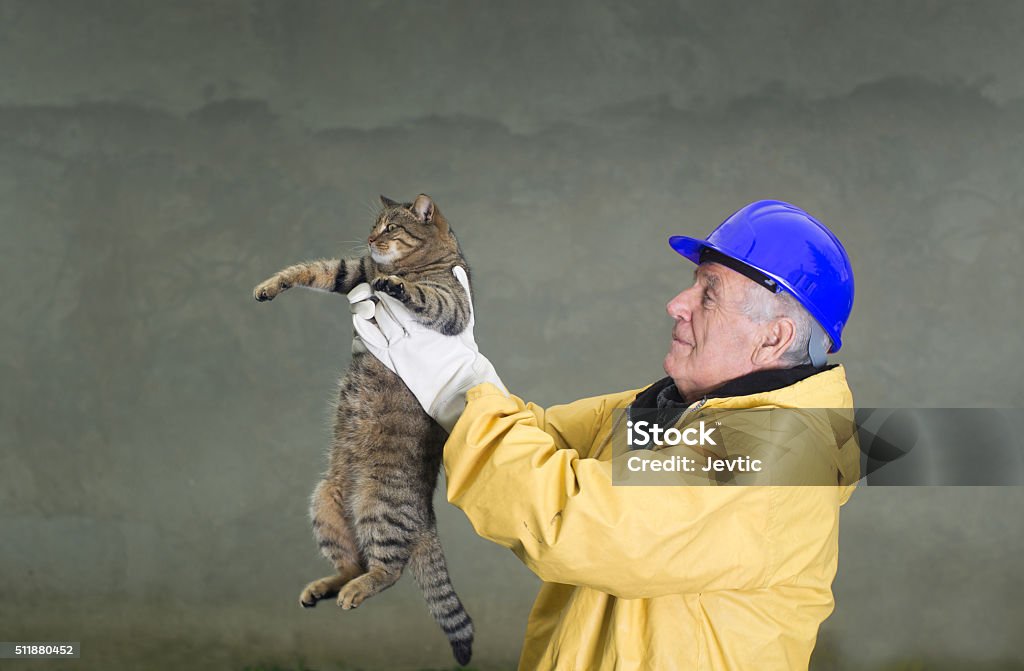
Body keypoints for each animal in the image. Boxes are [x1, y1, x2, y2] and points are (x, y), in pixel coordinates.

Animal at [251, 194, 475, 667]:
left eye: (391, 227)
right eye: (374, 226)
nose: (372, 240)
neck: (410, 262)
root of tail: (426, 515)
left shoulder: (453, 303)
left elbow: (427, 297)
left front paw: (398, 288)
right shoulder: (352, 271)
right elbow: (312, 269)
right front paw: (270, 285)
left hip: (379, 507)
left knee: (388, 569)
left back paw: (355, 591)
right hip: (324, 502)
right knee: (353, 563)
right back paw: (328, 586)